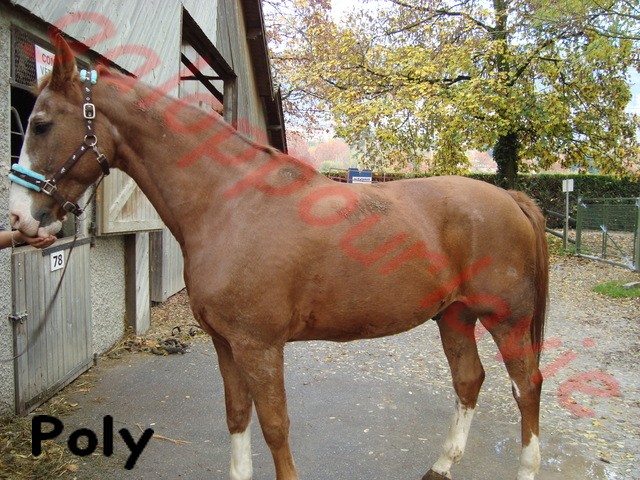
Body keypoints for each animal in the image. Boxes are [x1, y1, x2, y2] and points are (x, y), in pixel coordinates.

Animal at [10, 35, 548, 480]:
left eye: (40, 124)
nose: (21, 219)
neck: (230, 205)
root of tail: (509, 197)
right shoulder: (226, 344)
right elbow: (237, 417)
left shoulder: (259, 346)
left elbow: (274, 426)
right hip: (454, 316)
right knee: (470, 380)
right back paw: (441, 465)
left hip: (506, 319)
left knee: (527, 385)